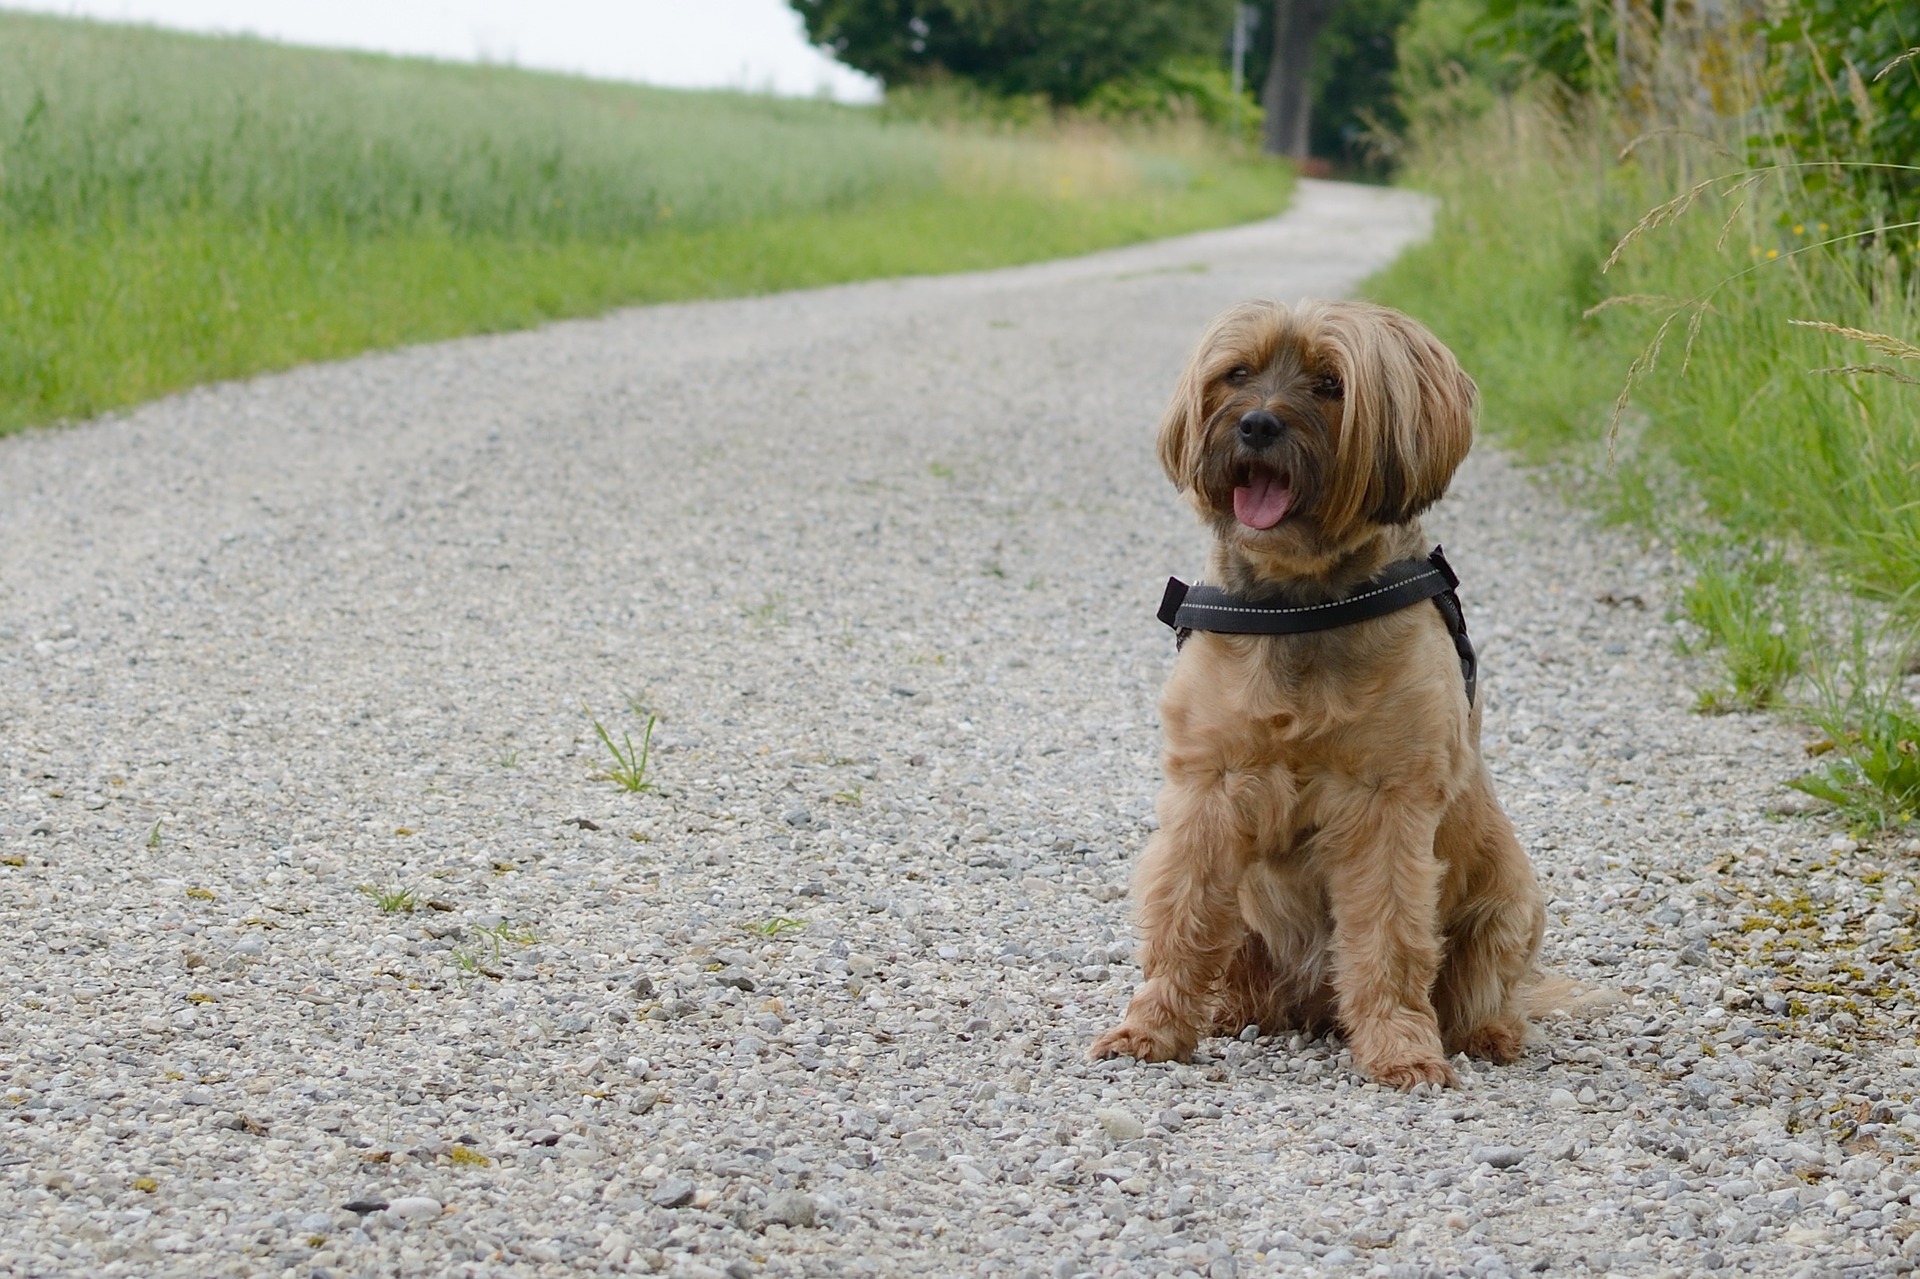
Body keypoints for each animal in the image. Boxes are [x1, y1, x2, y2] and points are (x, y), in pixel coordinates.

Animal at [1098, 299, 1543, 1083]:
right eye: (1236, 373)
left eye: (1331, 384)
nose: (1256, 425)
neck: (1298, 602)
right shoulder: (1210, 788)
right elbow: (1182, 918)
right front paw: (1150, 1027)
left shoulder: (1387, 805)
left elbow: (1389, 935)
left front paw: (1400, 1048)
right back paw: (1229, 1011)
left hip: (1511, 900)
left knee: (1483, 982)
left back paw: (1488, 1033)